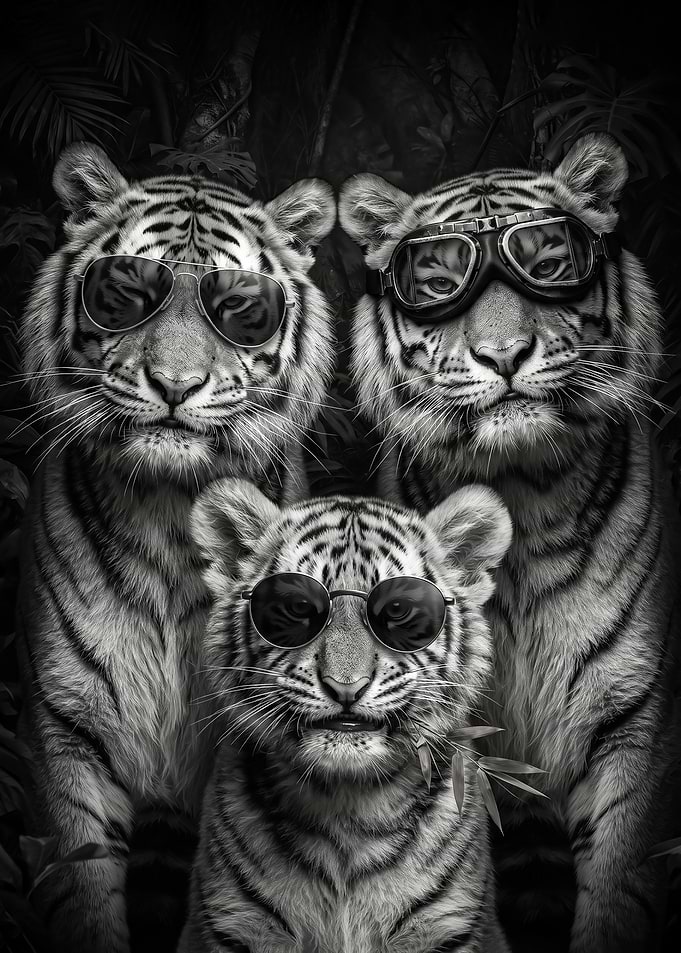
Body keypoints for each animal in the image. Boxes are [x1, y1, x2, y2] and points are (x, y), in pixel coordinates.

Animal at [16, 141, 336, 953]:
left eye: (241, 308)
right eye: (127, 291)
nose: (174, 383)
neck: (170, 511)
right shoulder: (67, 733)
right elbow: (86, 890)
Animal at [180, 476, 513, 953]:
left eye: (397, 610)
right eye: (298, 608)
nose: (345, 686)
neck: (346, 810)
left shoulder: (444, 926)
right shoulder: (239, 924)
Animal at [338, 132, 681, 953]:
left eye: (549, 260)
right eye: (437, 280)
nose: (503, 353)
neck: (518, 495)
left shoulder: (634, 726)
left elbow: (617, 890)